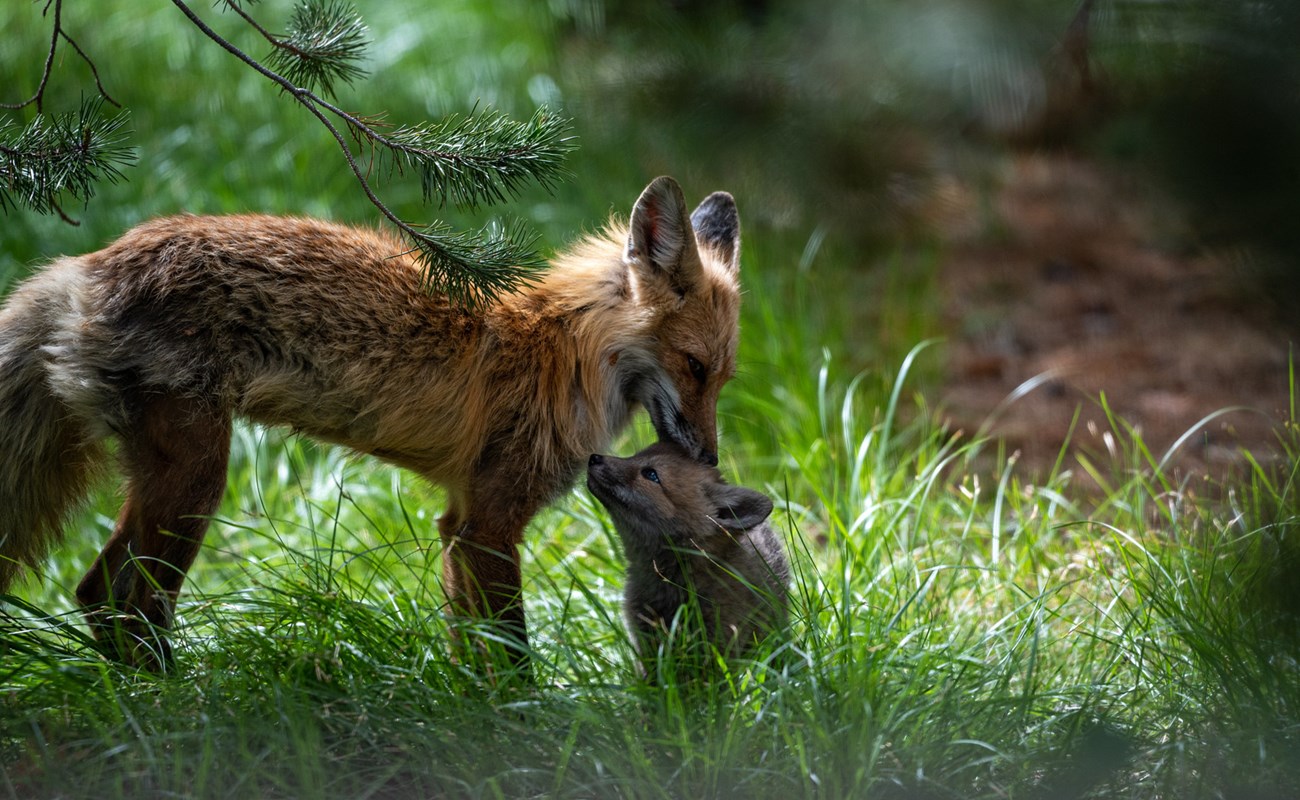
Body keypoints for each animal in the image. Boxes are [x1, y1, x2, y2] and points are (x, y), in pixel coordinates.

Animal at [0, 176, 743, 671]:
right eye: (695, 366)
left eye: (725, 377)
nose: (709, 460)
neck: (566, 351)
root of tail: (82, 267)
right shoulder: (492, 524)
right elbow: (512, 656)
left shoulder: (458, 522)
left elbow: (470, 652)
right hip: (195, 481)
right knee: (126, 601)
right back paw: (170, 706)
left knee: (97, 594)